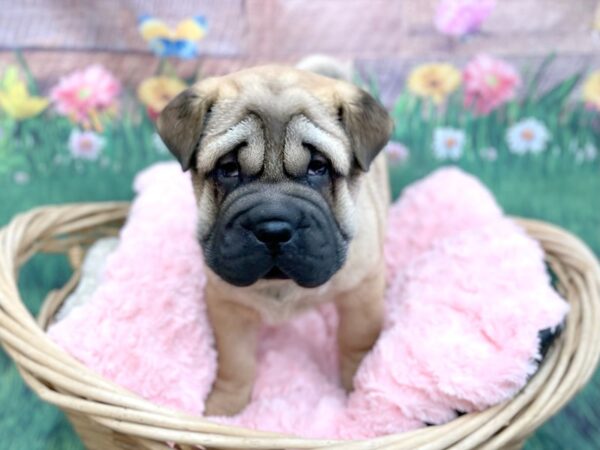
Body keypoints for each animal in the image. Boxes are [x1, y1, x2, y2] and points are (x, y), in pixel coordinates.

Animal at [157, 62, 394, 414]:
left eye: (318, 167)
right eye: (228, 169)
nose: (273, 229)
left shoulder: (361, 292)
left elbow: (357, 342)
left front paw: (358, 390)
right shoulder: (228, 304)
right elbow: (236, 361)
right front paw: (225, 408)